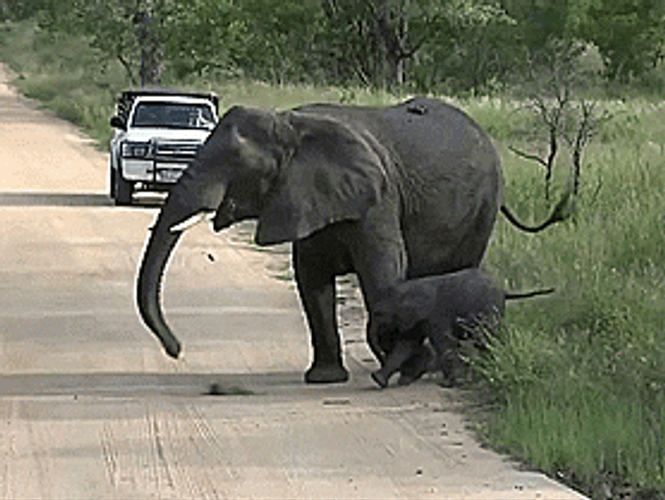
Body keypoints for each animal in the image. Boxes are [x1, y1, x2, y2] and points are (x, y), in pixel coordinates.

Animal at [369, 268, 554, 389]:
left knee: (488, 338)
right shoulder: (418, 319)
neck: (412, 287)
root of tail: (504, 290)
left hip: (488, 311)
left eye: (379, 314)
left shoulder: (436, 314)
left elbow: (443, 343)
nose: (381, 352)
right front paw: (379, 380)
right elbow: (405, 345)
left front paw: (446, 384)